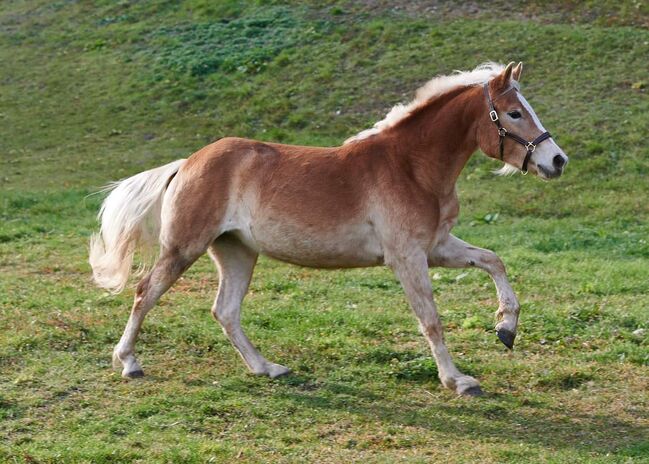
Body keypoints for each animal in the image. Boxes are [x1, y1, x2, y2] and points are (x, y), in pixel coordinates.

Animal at [90, 61, 568, 396]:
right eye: (513, 113)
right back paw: (128, 362)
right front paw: (458, 380)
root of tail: (188, 162)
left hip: (237, 252)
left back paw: (267, 368)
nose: (557, 160)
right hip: (184, 248)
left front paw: (506, 329)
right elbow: (431, 319)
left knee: (224, 311)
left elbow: (493, 261)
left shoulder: (436, 247)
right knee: (145, 293)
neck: (411, 167)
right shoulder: (407, 257)